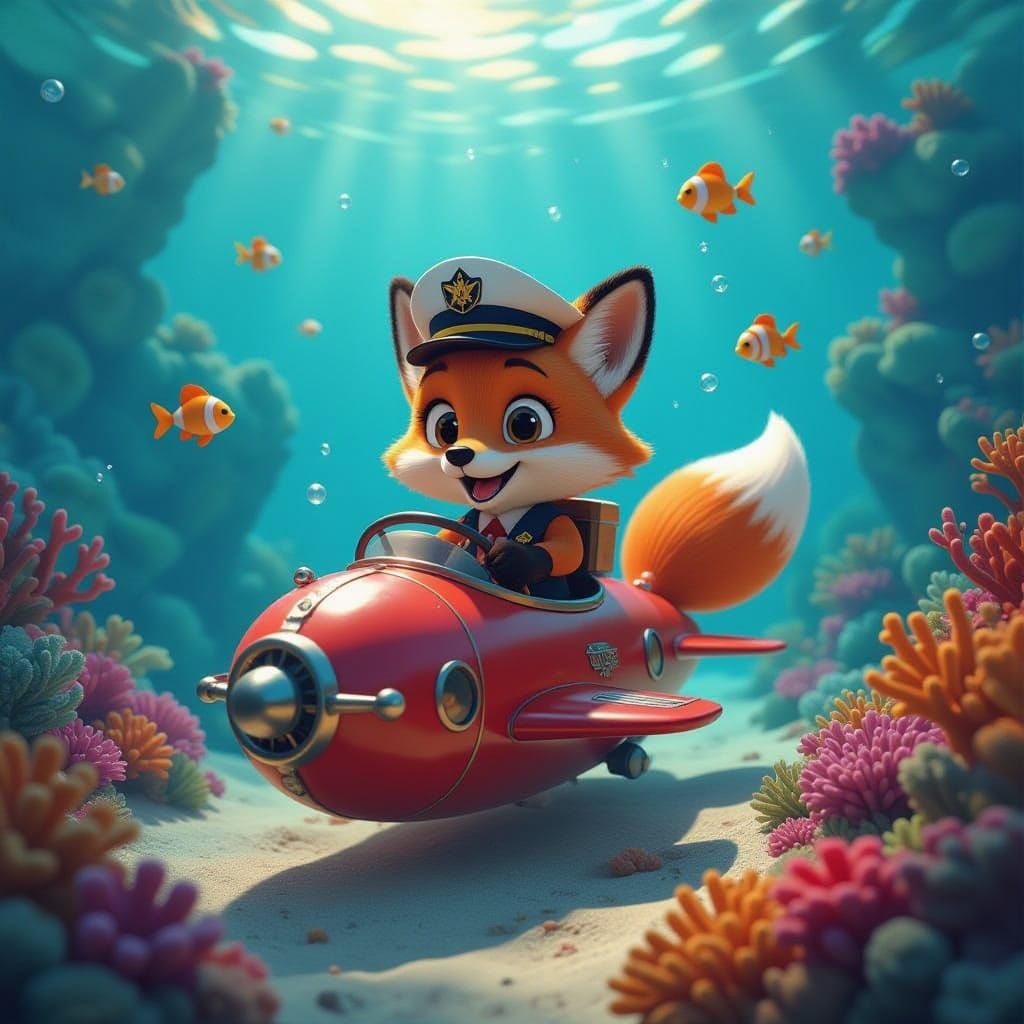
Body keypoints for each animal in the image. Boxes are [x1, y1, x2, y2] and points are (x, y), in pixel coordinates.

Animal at [383, 261, 809, 612]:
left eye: (525, 423)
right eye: (445, 427)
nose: (458, 454)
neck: (500, 515)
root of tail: (651, 589)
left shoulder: (555, 519)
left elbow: (567, 548)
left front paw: (513, 559)